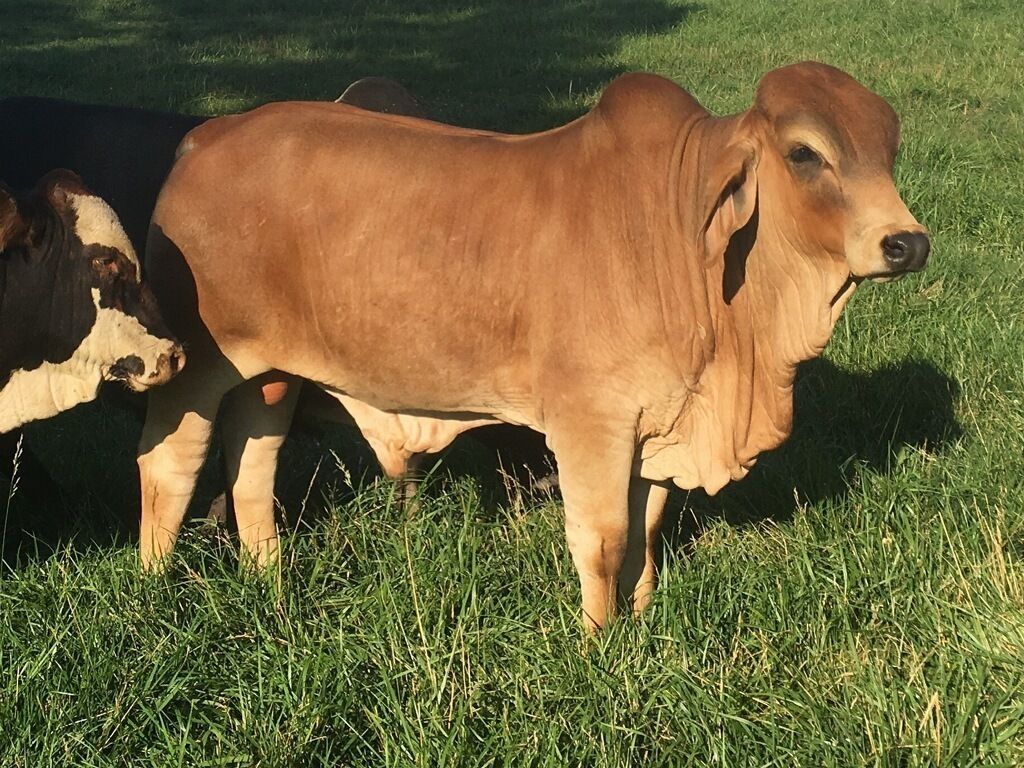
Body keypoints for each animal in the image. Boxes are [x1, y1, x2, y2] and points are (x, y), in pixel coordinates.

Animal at [137, 61, 929, 629]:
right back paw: (152, 586)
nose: (907, 243)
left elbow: (646, 531)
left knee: (253, 467)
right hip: (196, 367)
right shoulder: (591, 422)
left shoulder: (654, 426)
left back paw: (269, 579)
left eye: (890, 147)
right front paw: (596, 644)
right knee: (169, 464)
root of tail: (204, 139)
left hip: (270, 375)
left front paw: (639, 619)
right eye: (805, 153)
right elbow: (603, 538)